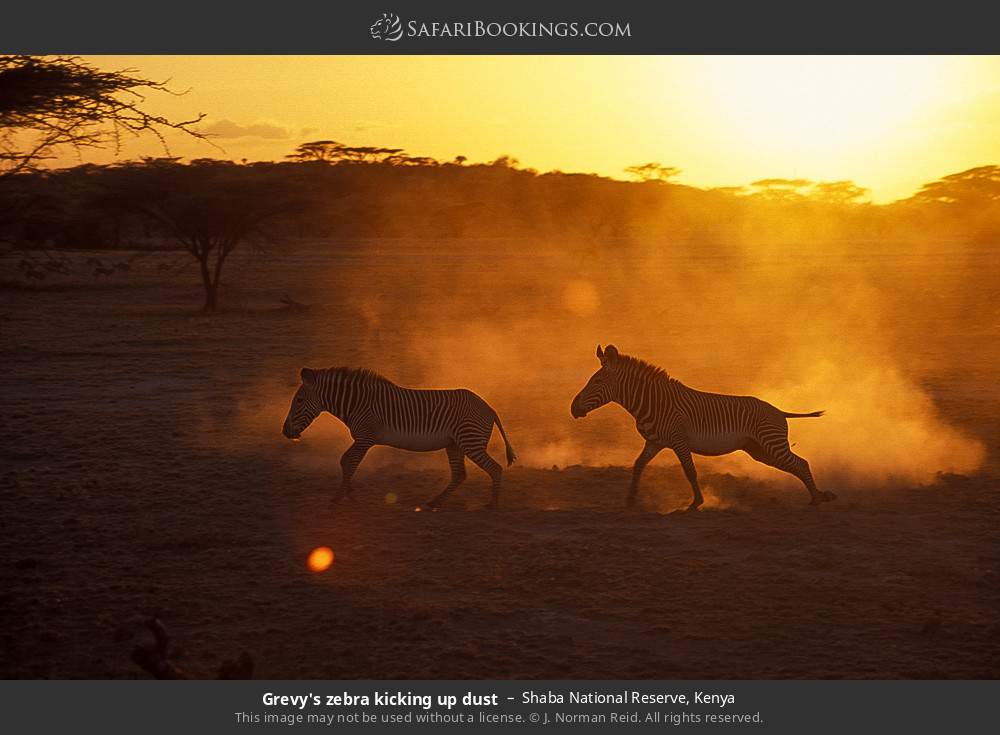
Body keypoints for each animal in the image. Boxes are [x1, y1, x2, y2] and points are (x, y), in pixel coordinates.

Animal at [281, 367, 516, 509]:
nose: (285, 432)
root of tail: (489, 408)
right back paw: (434, 503)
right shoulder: (361, 439)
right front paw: (349, 493)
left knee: (495, 469)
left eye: (299, 400)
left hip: (470, 442)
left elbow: (350, 463)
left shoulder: (365, 438)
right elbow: (345, 461)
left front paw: (339, 497)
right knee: (459, 475)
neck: (357, 404)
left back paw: (492, 505)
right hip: (455, 444)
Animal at [570, 345, 836, 509]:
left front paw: (696, 502)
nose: (573, 409)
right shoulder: (655, 442)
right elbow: (637, 466)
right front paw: (630, 499)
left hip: (771, 444)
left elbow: (690, 471)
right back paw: (820, 496)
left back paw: (817, 498)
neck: (654, 402)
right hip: (760, 450)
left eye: (597, 381)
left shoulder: (679, 440)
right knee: (795, 465)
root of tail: (779, 410)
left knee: (801, 463)